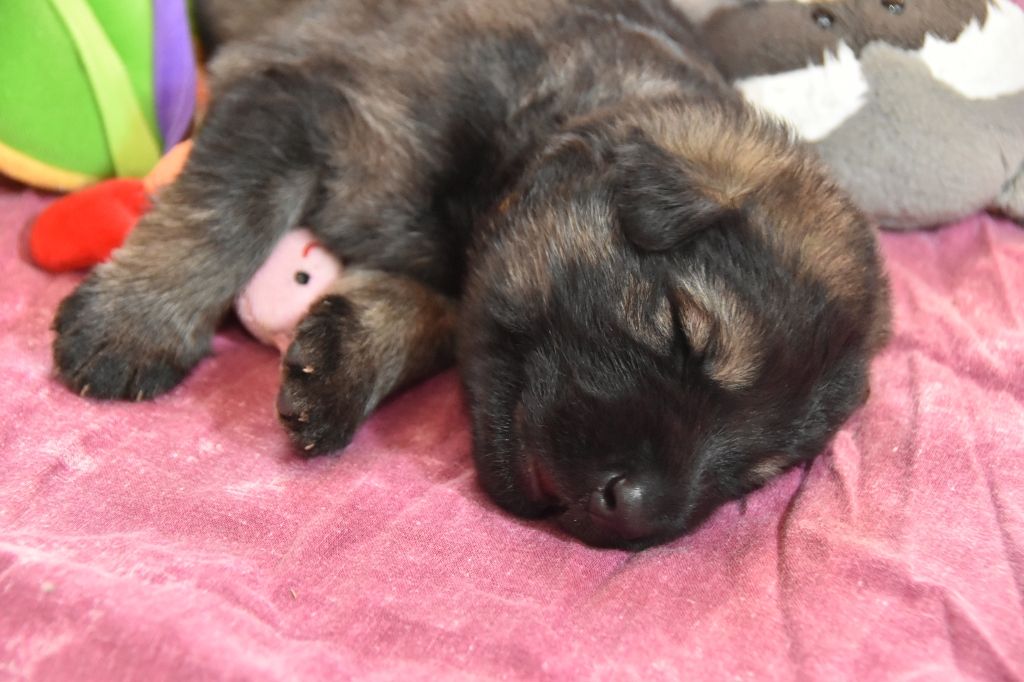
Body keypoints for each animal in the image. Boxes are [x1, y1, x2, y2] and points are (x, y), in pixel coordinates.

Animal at [52, 0, 890, 549]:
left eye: (754, 472)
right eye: (681, 330)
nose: (635, 508)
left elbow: (435, 319)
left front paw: (343, 359)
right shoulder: (303, 96)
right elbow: (227, 210)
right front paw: (132, 325)